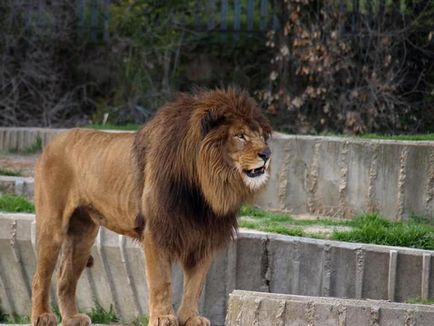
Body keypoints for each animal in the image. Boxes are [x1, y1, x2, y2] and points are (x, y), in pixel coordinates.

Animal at [31, 88, 272, 324]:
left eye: (260, 135)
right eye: (240, 135)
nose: (267, 154)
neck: (206, 186)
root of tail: (52, 142)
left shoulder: (204, 236)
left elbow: (195, 285)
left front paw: (190, 318)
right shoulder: (157, 231)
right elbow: (161, 281)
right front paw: (163, 317)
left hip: (83, 235)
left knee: (65, 277)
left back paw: (72, 318)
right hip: (52, 225)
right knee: (40, 277)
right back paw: (42, 316)